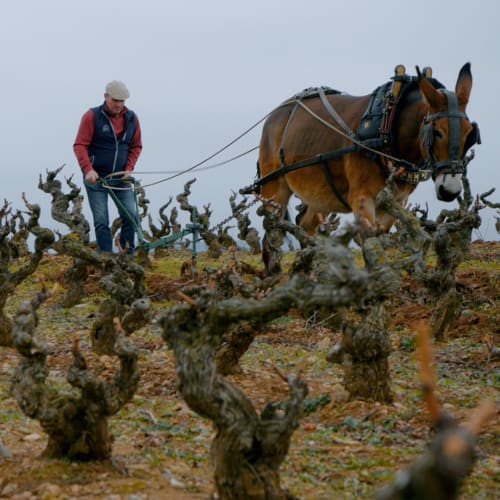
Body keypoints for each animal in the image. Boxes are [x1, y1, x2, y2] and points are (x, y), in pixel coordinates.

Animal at [250, 63, 480, 274]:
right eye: (438, 132)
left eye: (470, 134)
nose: (450, 191)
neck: (388, 127)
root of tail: (277, 113)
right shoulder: (362, 199)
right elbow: (369, 245)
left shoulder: (394, 202)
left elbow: (378, 242)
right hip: (274, 186)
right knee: (272, 232)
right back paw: (273, 274)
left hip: (320, 193)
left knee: (306, 225)